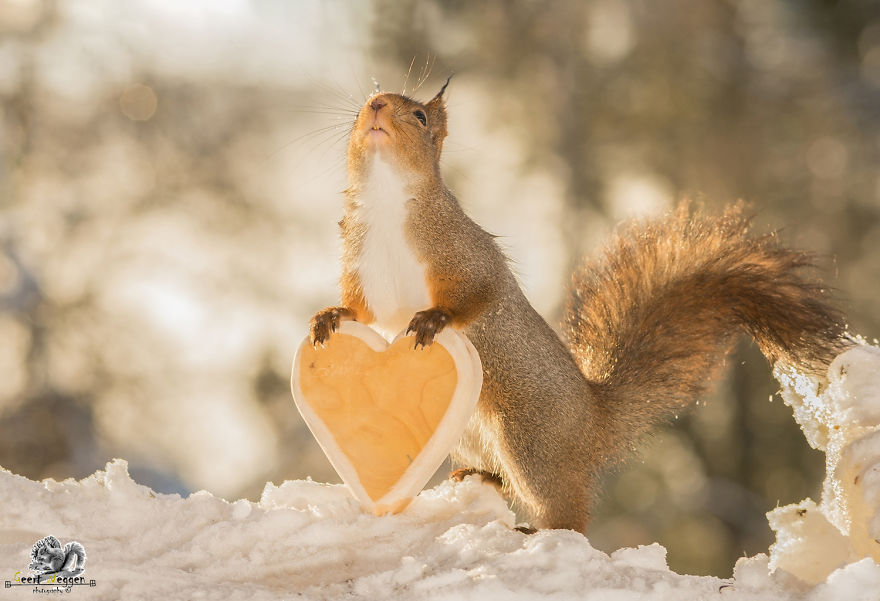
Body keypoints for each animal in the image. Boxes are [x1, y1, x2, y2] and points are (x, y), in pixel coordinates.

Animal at [308, 79, 849, 533]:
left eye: (420, 116)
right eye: (364, 102)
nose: (376, 106)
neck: (385, 202)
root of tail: (593, 424)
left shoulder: (467, 254)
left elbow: (479, 295)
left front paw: (434, 319)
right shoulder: (362, 268)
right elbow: (362, 310)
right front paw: (330, 316)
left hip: (530, 439)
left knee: (566, 509)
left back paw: (541, 529)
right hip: (469, 433)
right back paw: (479, 478)